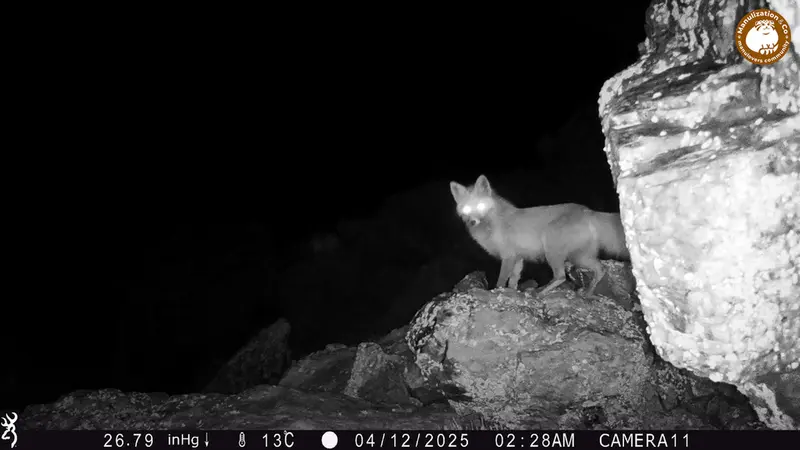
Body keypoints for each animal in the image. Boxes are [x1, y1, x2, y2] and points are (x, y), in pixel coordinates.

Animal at [449, 174, 630, 298]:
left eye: (480, 206)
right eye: (466, 209)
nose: (472, 222)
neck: (493, 223)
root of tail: (588, 211)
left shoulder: (508, 256)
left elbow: (501, 279)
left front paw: (497, 292)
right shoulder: (518, 258)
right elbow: (513, 281)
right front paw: (512, 293)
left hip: (554, 251)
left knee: (561, 276)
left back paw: (541, 293)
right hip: (580, 257)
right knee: (600, 269)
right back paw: (587, 293)